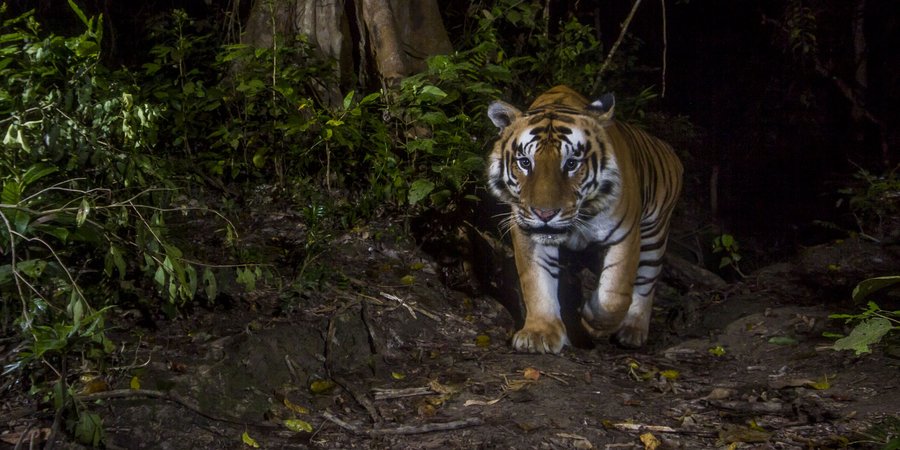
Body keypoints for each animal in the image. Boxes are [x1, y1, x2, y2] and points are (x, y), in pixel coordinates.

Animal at [486, 85, 683, 354]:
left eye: (571, 164)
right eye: (525, 162)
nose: (544, 214)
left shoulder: (626, 235)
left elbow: (615, 294)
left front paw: (591, 320)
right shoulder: (528, 231)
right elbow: (536, 281)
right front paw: (539, 334)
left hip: (654, 235)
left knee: (646, 283)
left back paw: (632, 331)